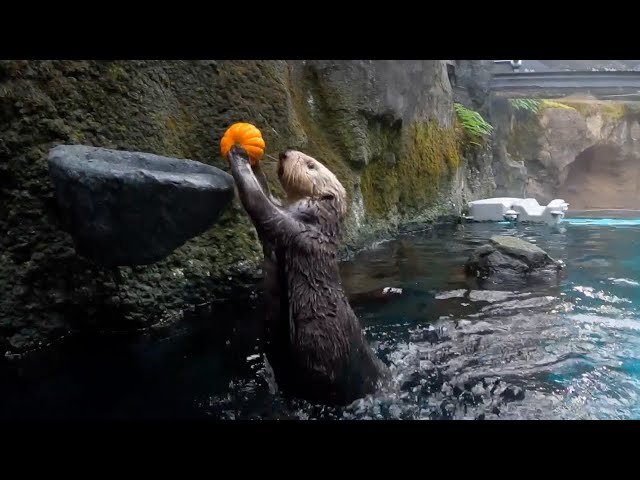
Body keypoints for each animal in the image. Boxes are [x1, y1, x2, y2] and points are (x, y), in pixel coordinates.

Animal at [226, 143, 384, 404]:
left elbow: (262, 207)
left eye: (311, 165)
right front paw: (255, 162)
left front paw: (239, 155)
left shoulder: (296, 226)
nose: (285, 154)